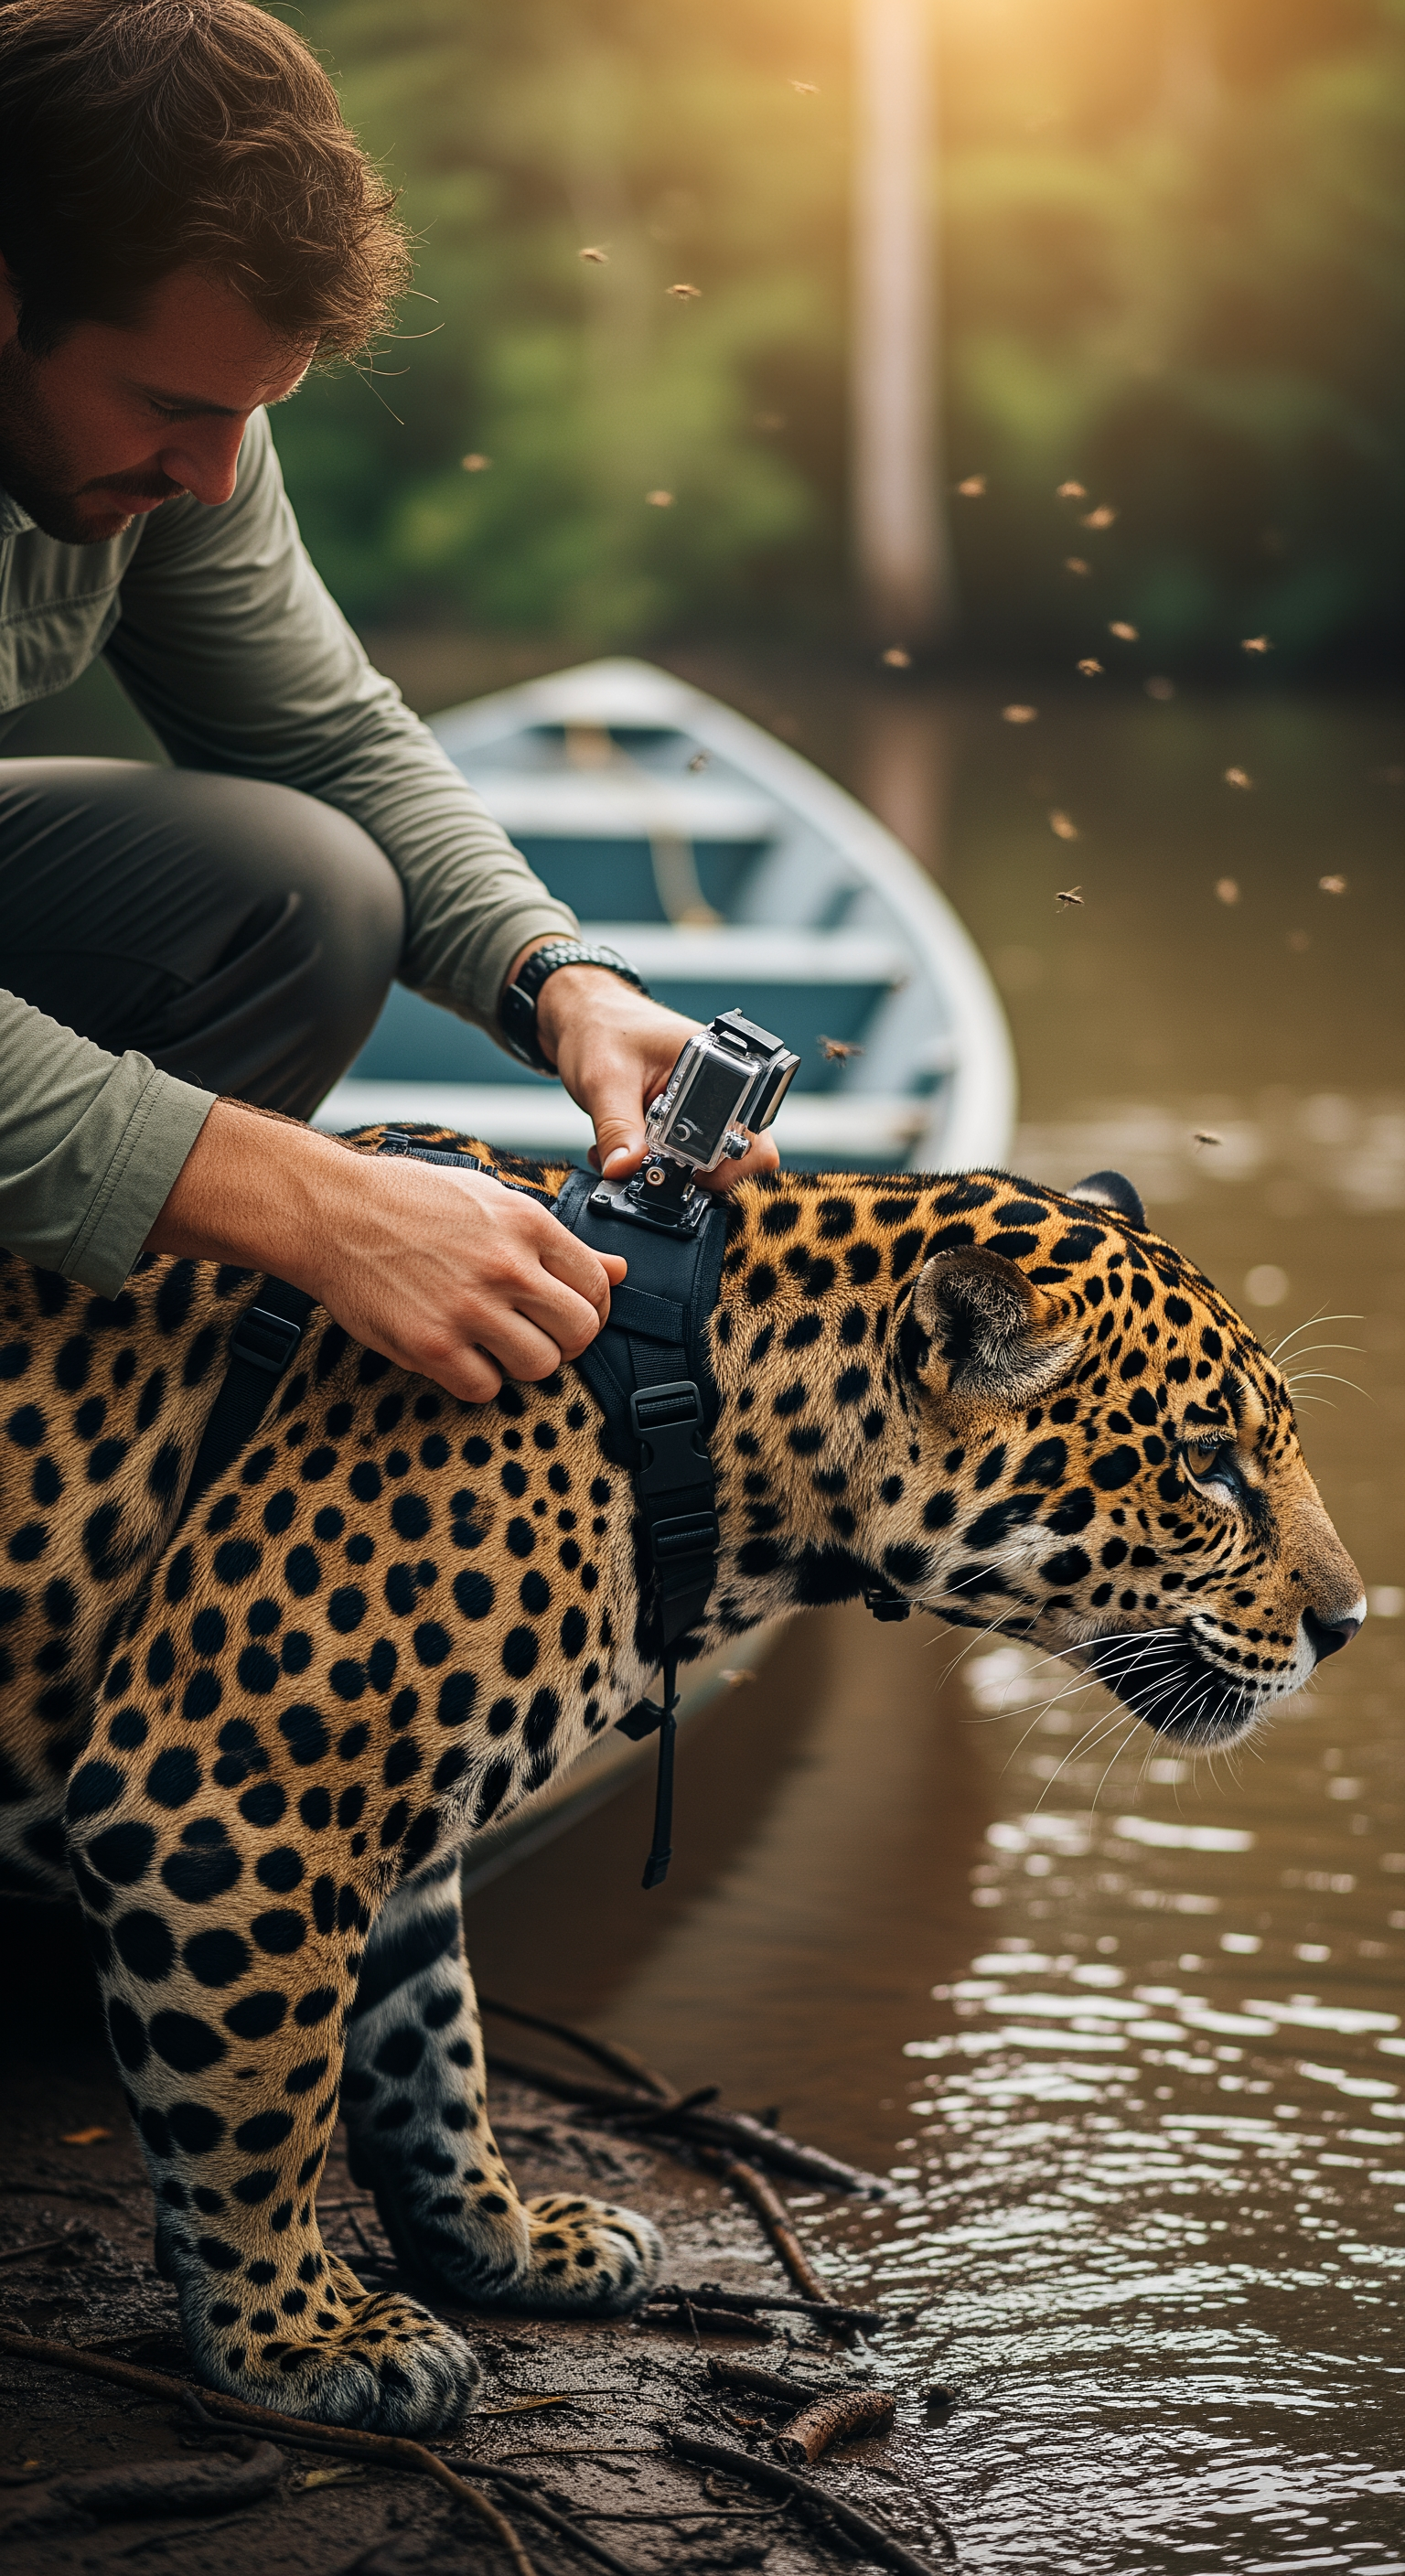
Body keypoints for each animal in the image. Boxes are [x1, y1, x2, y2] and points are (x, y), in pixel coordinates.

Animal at [0, 1130, 1364, 2435]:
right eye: (1206, 1464)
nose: (1349, 1623)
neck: (714, 1428)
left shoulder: (394, 1834)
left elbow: (428, 2046)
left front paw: (502, 2243)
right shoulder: (228, 1796)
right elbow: (263, 2098)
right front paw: (296, 2340)